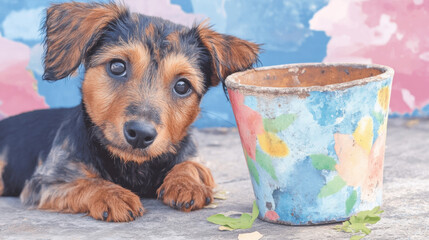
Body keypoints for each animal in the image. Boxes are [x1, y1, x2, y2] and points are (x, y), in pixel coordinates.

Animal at [0, 1, 258, 221]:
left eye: (182, 86)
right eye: (117, 66)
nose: (141, 134)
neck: (133, 166)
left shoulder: (195, 156)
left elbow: (192, 165)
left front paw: (186, 183)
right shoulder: (45, 182)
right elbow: (87, 182)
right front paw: (113, 194)